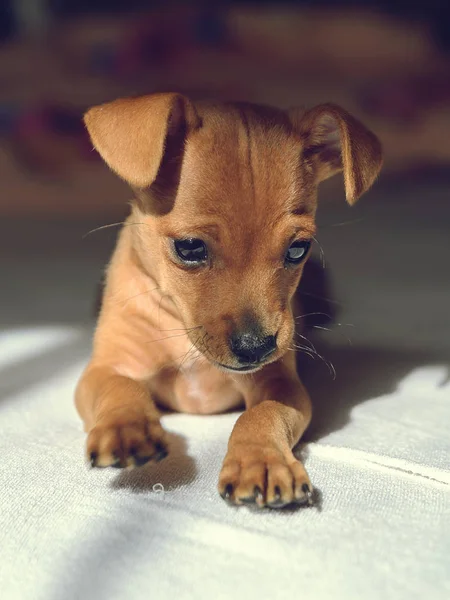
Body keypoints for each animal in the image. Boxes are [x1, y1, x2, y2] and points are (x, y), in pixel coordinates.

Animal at [75, 94, 382, 506]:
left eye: (298, 249)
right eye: (189, 248)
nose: (256, 347)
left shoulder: (281, 384)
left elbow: (263, 414)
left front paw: (262, 460)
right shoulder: (105, 369)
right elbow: (121, 388)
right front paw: (127, 426)